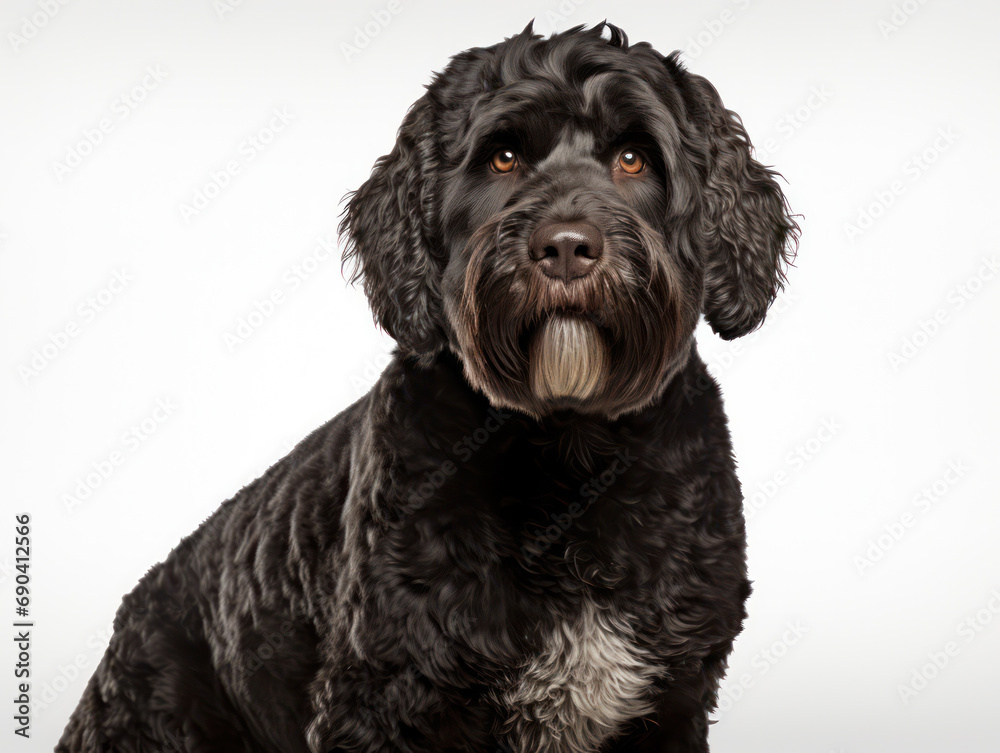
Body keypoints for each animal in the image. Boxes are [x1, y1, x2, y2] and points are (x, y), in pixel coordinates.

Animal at [60, 20, 796, 752]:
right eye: (503, 157)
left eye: (635, 158)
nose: (565, 245)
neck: (567, 448)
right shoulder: (385, 700)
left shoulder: (672, 701)